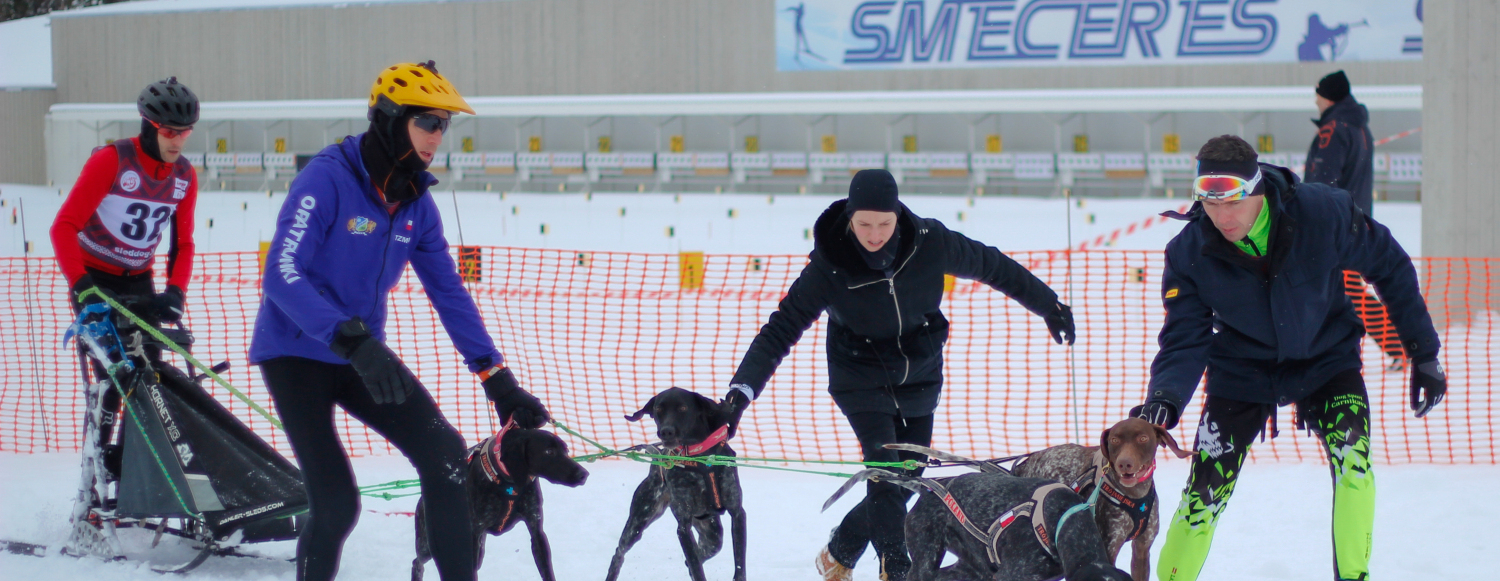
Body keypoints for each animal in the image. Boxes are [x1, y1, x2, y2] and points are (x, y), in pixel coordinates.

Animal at [1014, 417, 1188, 581]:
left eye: (1143, 438)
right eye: (1115, 440)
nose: (1124, 463)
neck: (1135, 495)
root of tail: (1023, 465)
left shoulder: (1142, 549)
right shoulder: (1108, 550)